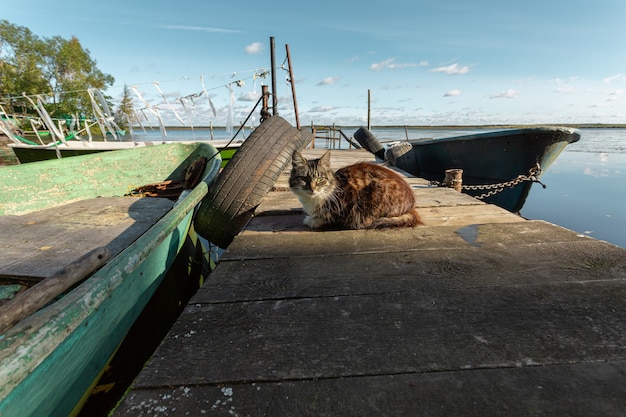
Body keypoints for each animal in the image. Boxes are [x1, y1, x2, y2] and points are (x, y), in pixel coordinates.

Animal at [288, 149, 420, 228]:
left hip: (378, 188)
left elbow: (328, 217)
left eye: (320, 179)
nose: (312, 189)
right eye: (304, 178)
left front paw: (313, 220)